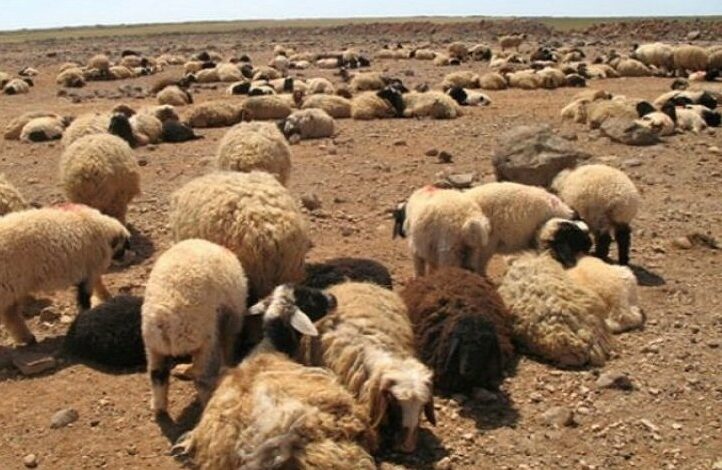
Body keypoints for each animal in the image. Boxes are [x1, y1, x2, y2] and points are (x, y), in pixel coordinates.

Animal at [0, 204, 130, 344]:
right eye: (123, 247)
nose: (125, 259)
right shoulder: (90, 269)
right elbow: (85, 297)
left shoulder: (90, 270)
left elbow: (98, 285)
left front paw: (107, 298)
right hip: (7, 285)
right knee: (10, 314)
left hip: (11, 287)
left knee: (10, 313)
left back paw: (27, 338)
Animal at [142, 239, 249, 413]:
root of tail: (167, 323)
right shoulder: (233, 317)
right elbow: (229, 345)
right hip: (204, 340)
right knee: (202, 378)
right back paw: (207, 402)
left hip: (153, 346)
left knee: (157, 375)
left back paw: (159, 406)